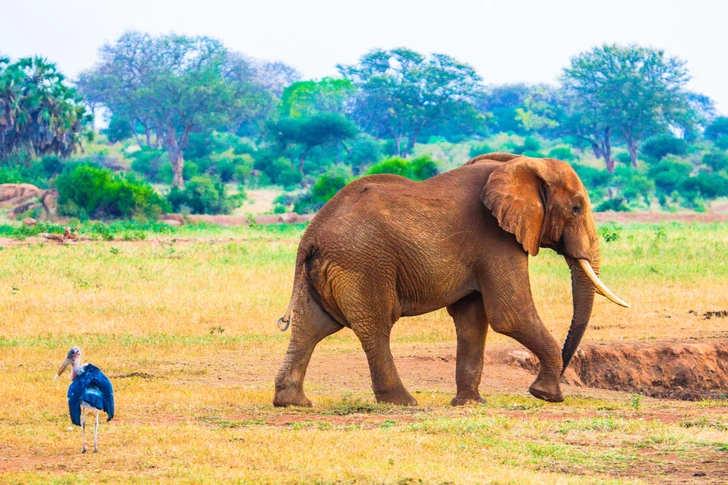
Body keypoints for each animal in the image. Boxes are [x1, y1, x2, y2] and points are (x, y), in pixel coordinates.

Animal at [272, 153, 624, 406]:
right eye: (576, 208)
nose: (560, 380)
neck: (522, 164)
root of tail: (310, 235)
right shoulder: (496, 239)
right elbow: (510, 315)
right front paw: (547, 395)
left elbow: (472, 319)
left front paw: (470, 404)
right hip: (364, 264)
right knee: (375, 327)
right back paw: (404, 403)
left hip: (328, 270)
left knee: (311, 327)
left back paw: (293, 402)